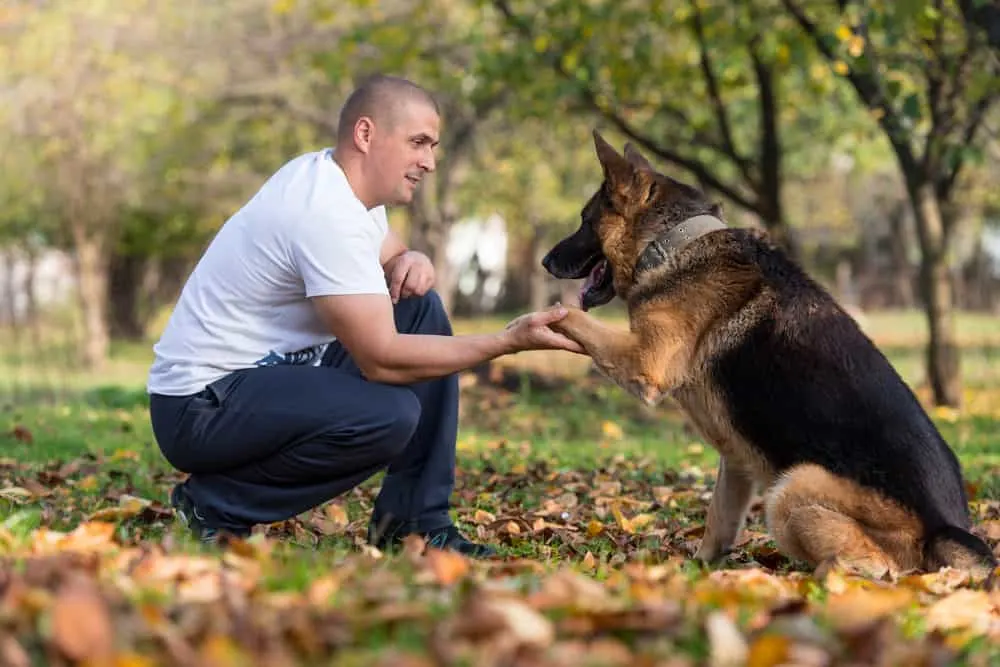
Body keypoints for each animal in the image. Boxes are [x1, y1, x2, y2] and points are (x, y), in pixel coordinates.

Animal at [544, 130, 996, 584]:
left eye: (584, 220)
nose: (545, 261)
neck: (673, 241)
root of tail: (944, 531)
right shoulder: (735, 460)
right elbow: (718, 520)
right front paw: (698, 573)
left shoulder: (644, 362)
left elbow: (573, 319)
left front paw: (541, 319)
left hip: (793, 487)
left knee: (877, 567)